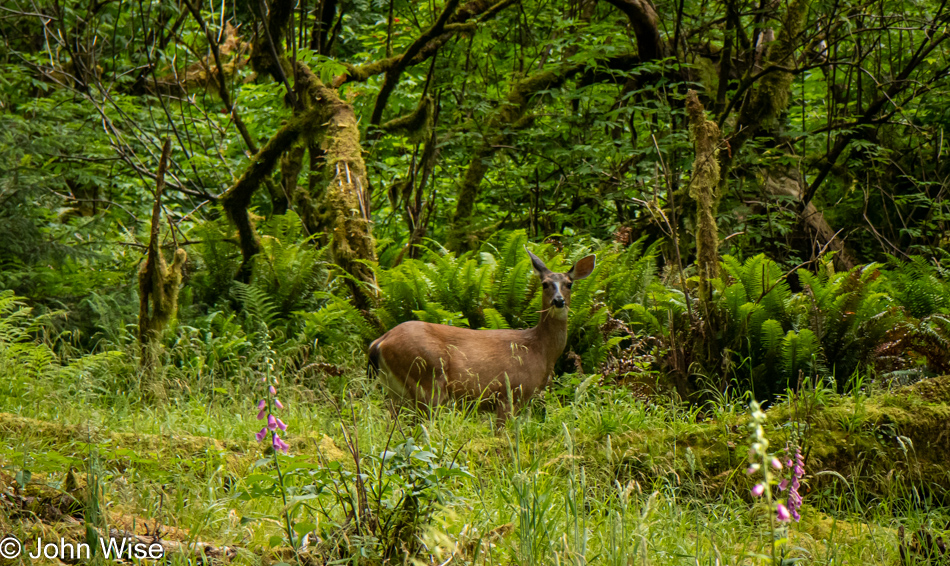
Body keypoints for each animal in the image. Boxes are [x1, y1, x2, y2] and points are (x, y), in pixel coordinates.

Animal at [366, 246, 596, 424]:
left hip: (395, 390)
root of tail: (380, 342)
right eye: (545, 284)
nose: (558, 301)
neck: (539, 350)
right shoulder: (510, 393)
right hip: (427, 380)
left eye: (569, 284)